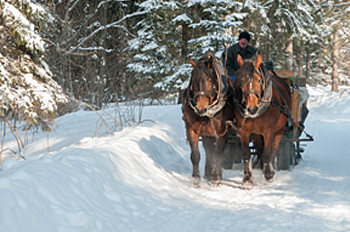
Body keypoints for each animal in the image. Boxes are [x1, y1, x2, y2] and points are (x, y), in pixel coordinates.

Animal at [182, 49, 234, 188]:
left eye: (210, 80)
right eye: (193, 80)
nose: (200, 108)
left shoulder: (221, 133)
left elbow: (217, 153)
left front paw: (216, 178)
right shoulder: (191, 130)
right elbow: (196, 155)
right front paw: (196, 180)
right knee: (208, 148)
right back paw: (208, 173)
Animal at [234, 53, 292, 188]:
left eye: (258, 80)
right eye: (241, 80)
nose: (251, 108)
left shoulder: (268, 131)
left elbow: (267, 152)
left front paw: (269, 175)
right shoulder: (244, 130)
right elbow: (246, 154)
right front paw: (247, 179)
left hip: (280, 129)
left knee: (274, 148)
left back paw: (270, 169)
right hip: (256, 133)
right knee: (260, 147)